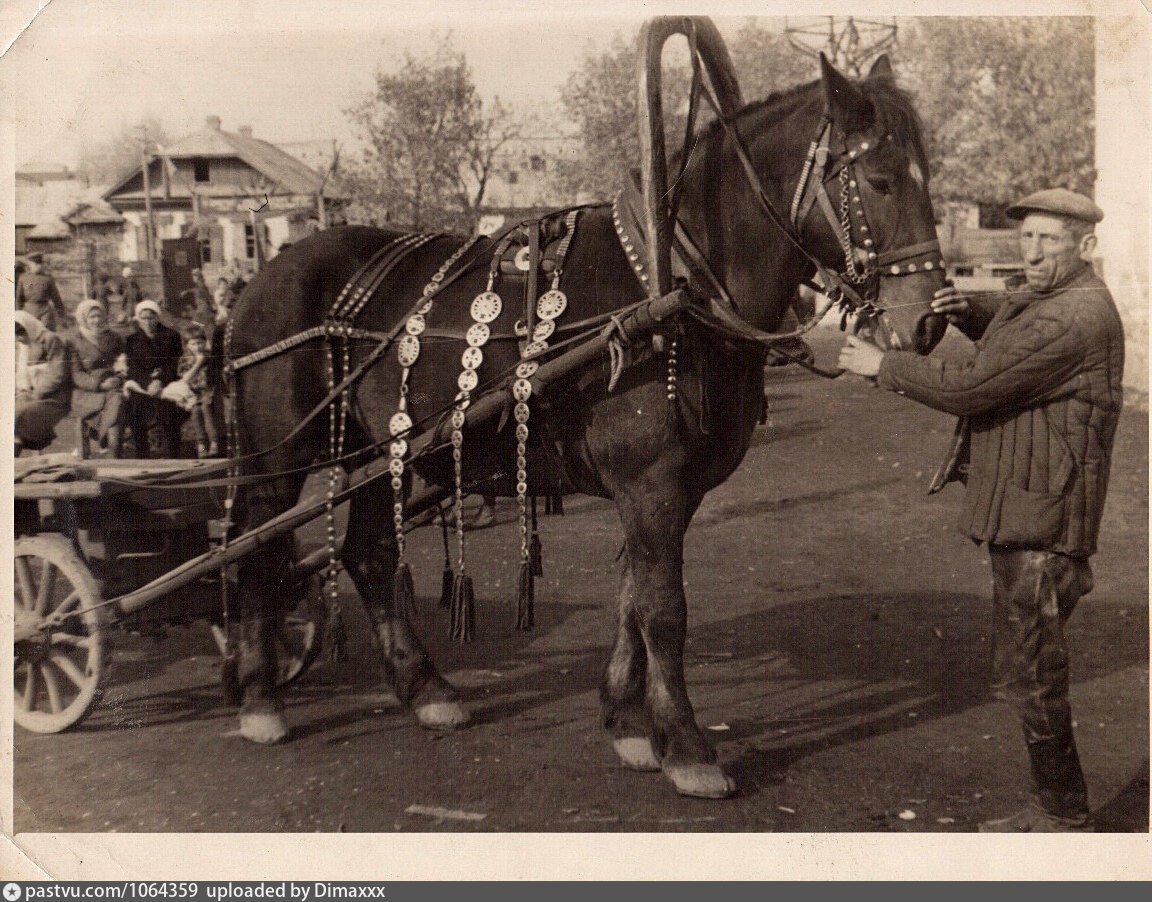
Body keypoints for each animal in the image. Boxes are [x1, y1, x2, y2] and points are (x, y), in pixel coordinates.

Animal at [222, 51, 944, 797]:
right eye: (881, 181)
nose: (929, 318)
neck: (673, 287)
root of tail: (266, 274)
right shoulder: (650, 483)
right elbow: (664, 611)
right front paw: (686, 746)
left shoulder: (667, 491)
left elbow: (632, 601)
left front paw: (627, 723)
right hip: (279, 458)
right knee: (257, 550)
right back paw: (262, 700)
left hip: (380, 452)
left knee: (367, 554)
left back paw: (426, 690)